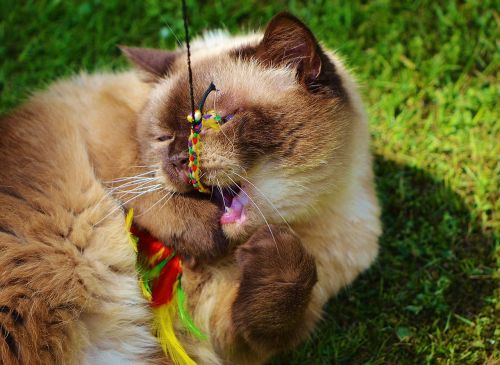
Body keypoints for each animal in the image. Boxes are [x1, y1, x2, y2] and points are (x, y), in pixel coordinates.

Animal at [0, 11, 378, 364]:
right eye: (163, 137)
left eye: (216, 121)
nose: (179, 159)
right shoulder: (93, 122)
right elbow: (142, 181)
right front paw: (212, 234)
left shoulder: (228, 333)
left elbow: (282, 303)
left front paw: (276, 249)